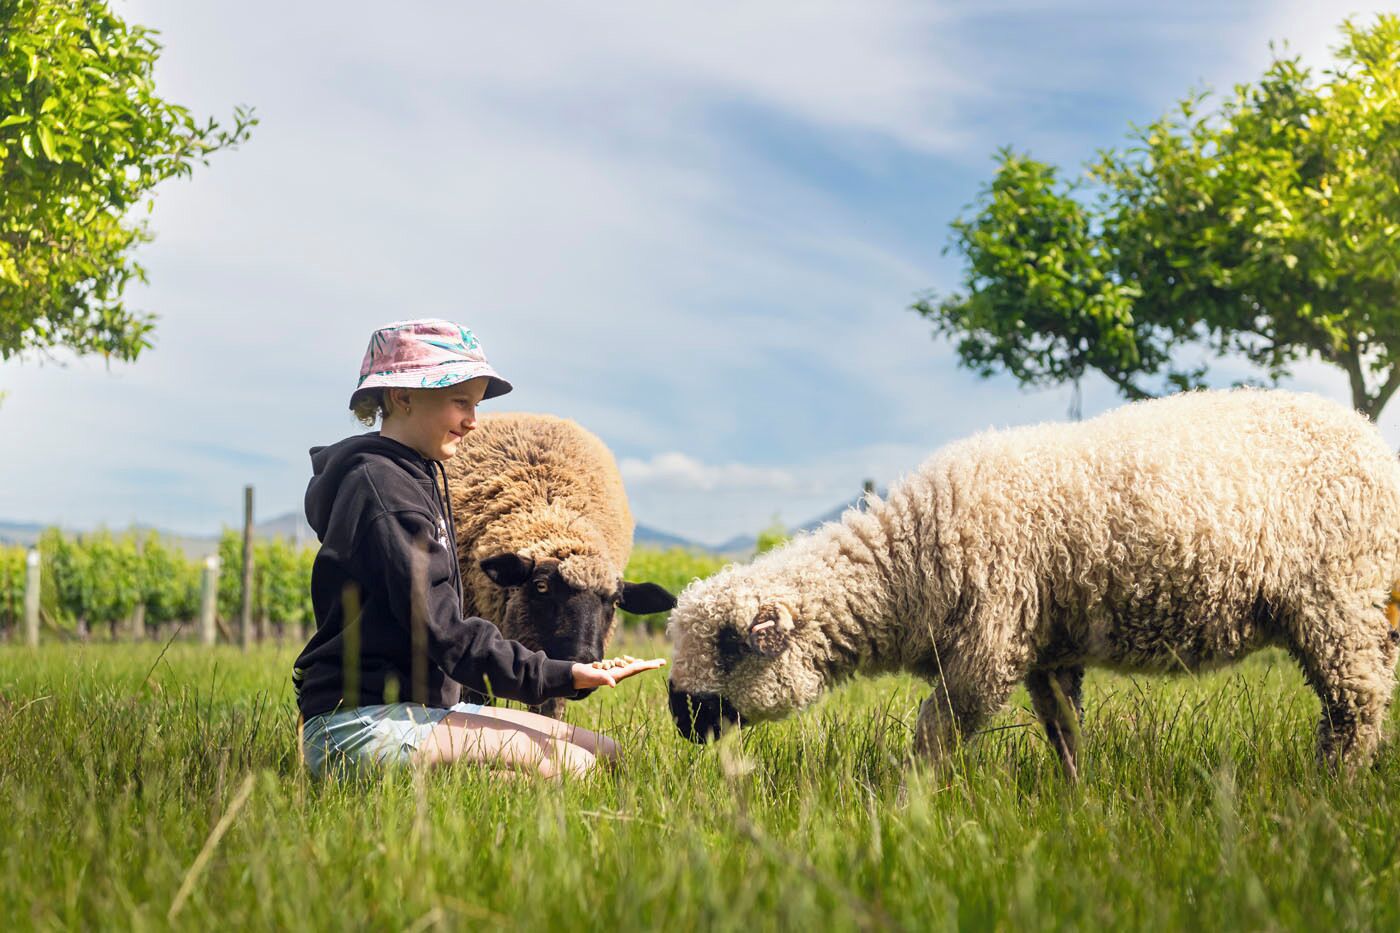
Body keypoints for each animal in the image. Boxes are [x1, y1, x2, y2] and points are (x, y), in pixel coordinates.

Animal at [667, 388, 1400, 778]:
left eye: (728, 645)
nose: (678, 717)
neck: (908, 562)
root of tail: (1371, 439)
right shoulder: (1048, 647)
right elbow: (1064, 728)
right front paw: (1076, 797)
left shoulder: (989, 642)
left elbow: (935, 734)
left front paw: (909, 806)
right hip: (1365, 606)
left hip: (1334, 595)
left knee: (1356, 702)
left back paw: (1330, 785)